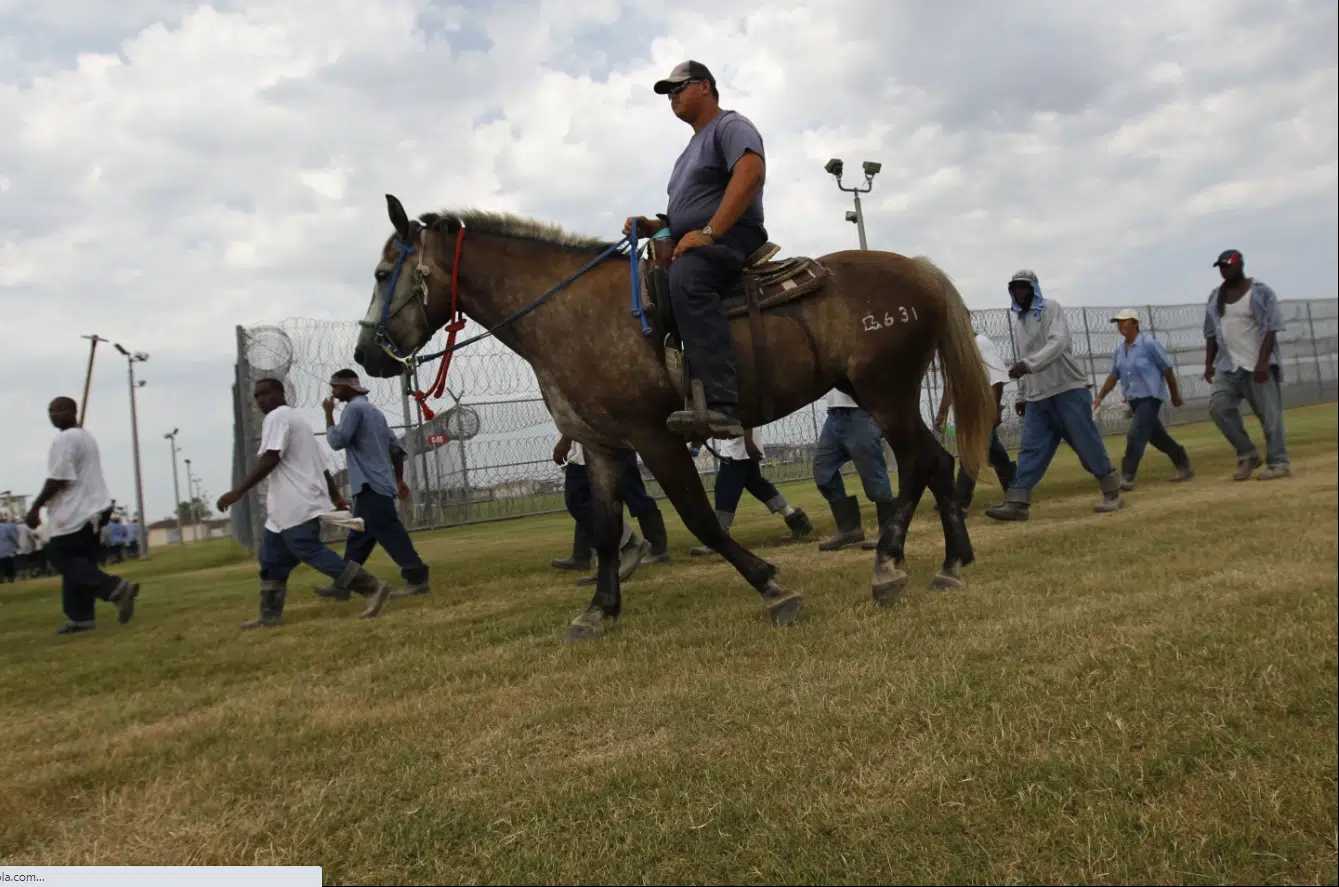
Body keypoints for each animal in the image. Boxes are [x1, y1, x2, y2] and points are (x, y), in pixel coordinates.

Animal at [350, 194, 1001, 643]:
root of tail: (918, 271)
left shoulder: (654, 437)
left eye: (383, 275)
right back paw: (951, 563)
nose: (364, 354)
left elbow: (701, 518)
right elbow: (606, 530)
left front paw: (771, 585)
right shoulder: (603, 446)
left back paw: (889, 566)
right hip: (891, 395)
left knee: (917, 462)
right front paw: (598, 610)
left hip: (884, 392)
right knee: (938, 461)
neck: (570, 314)